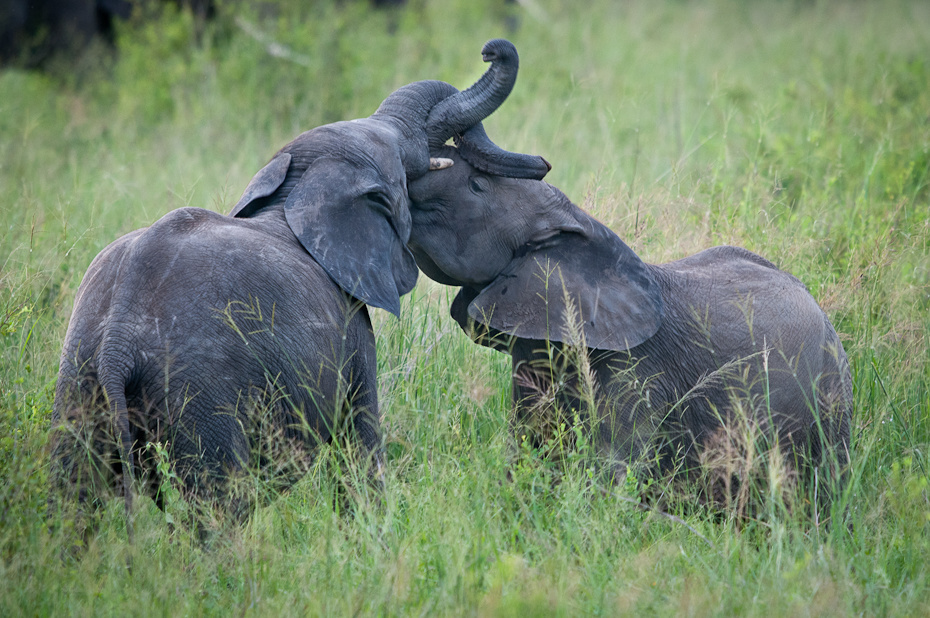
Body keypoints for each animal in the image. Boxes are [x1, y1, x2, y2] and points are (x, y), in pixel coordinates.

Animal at [50, 37, 548, 536]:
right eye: (403, 162)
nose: (489, 51)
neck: (298, 192)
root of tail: (117, 345)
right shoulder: (352, 330)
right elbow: (359, 445)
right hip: (200, 389)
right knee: (216, 507)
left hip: (79, 377)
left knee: (73, 496)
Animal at [410, 146, 852, 516]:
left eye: (476, 185)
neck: (580, 225)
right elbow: (527, 448)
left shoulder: (639, 372)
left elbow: (609, 471)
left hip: (828, 404)